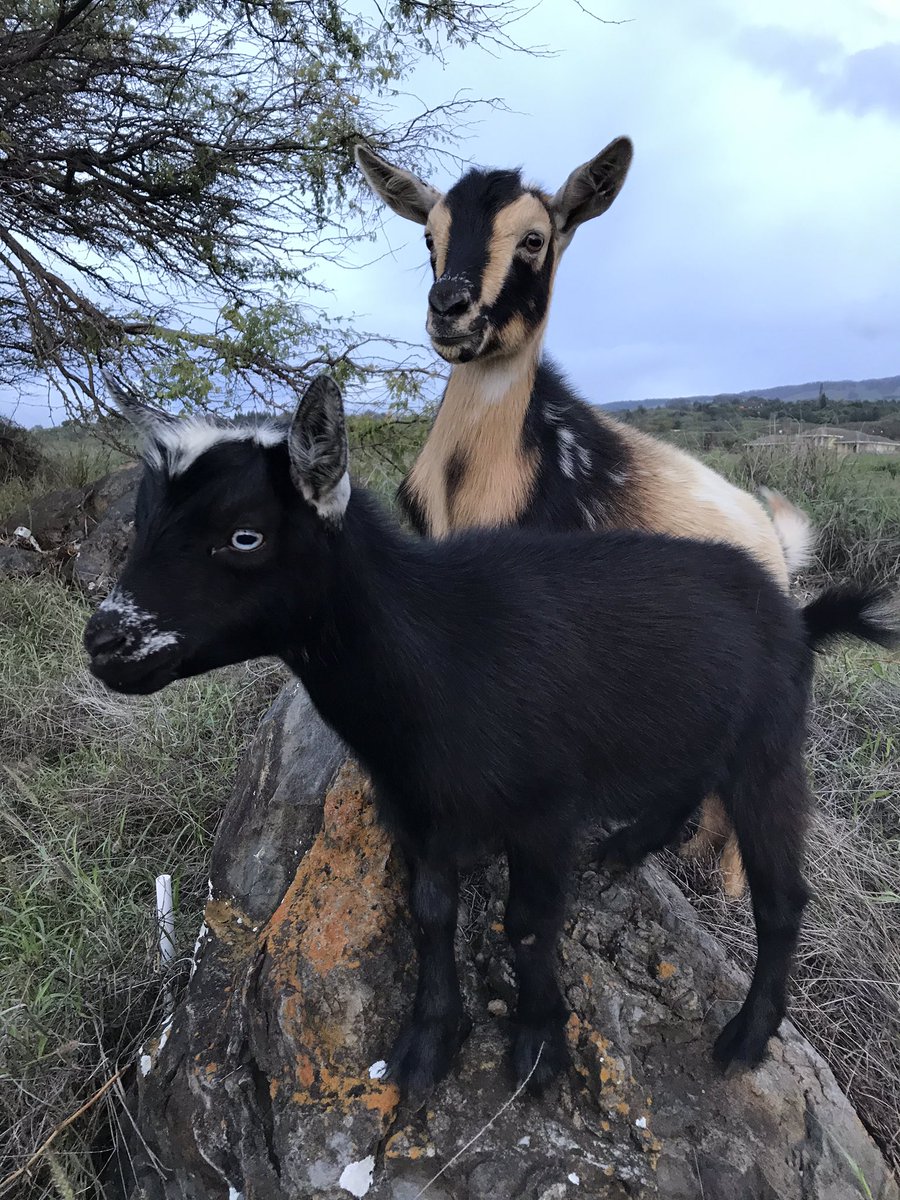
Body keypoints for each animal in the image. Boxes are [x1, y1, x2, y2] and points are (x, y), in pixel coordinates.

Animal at [84, 375, 897, 1101]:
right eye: (141, 522)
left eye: (244, 535)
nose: (106, 644)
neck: (441, 648)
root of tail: (797, 616)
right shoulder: (414, 806)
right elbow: (430, 914)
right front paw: (427, 1045)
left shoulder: (543, 808)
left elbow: (529, 924)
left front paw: (537, 1046)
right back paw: (625, 848)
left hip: (769, 745)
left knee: (782, 897)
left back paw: (747, 1037)